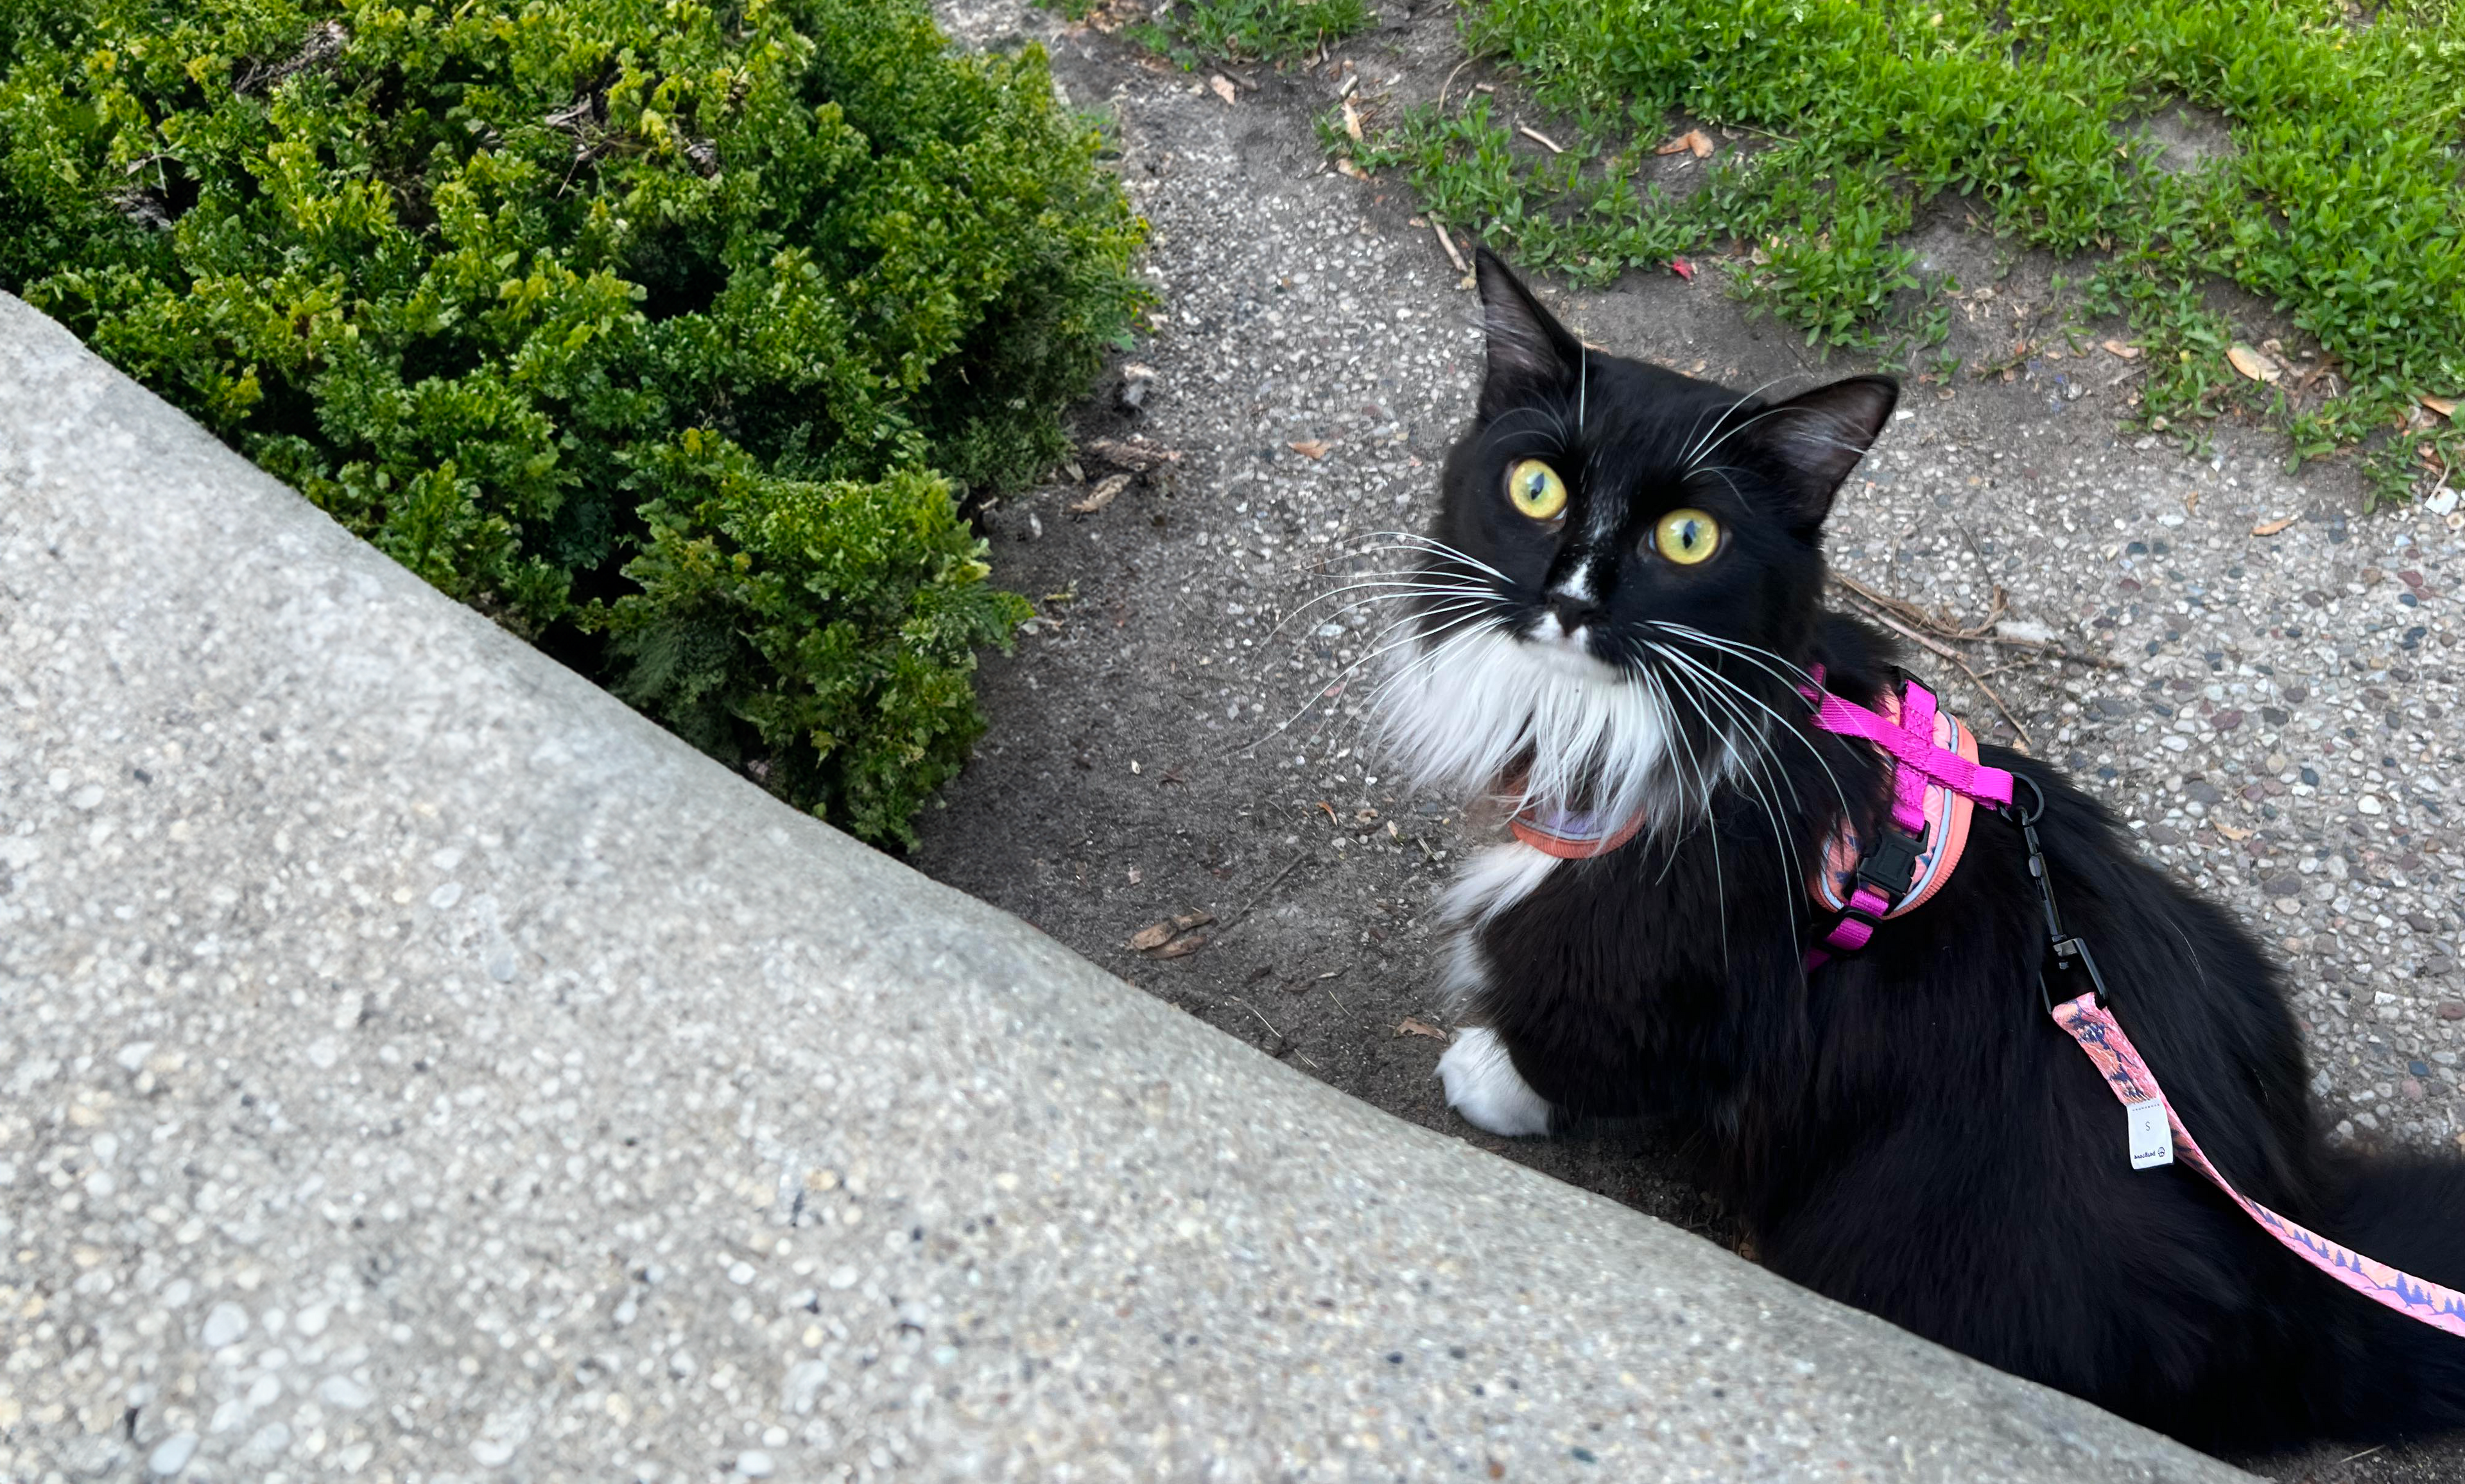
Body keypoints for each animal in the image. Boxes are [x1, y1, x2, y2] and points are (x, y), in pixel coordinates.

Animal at [1380, 245, 2465, 1439]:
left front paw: (1491, 1076)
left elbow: (1583, 1041)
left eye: (1688, 538)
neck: (1649, 720)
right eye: (1537, 487)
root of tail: (2292, 1297)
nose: (1570, 597)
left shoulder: (1670, 955)